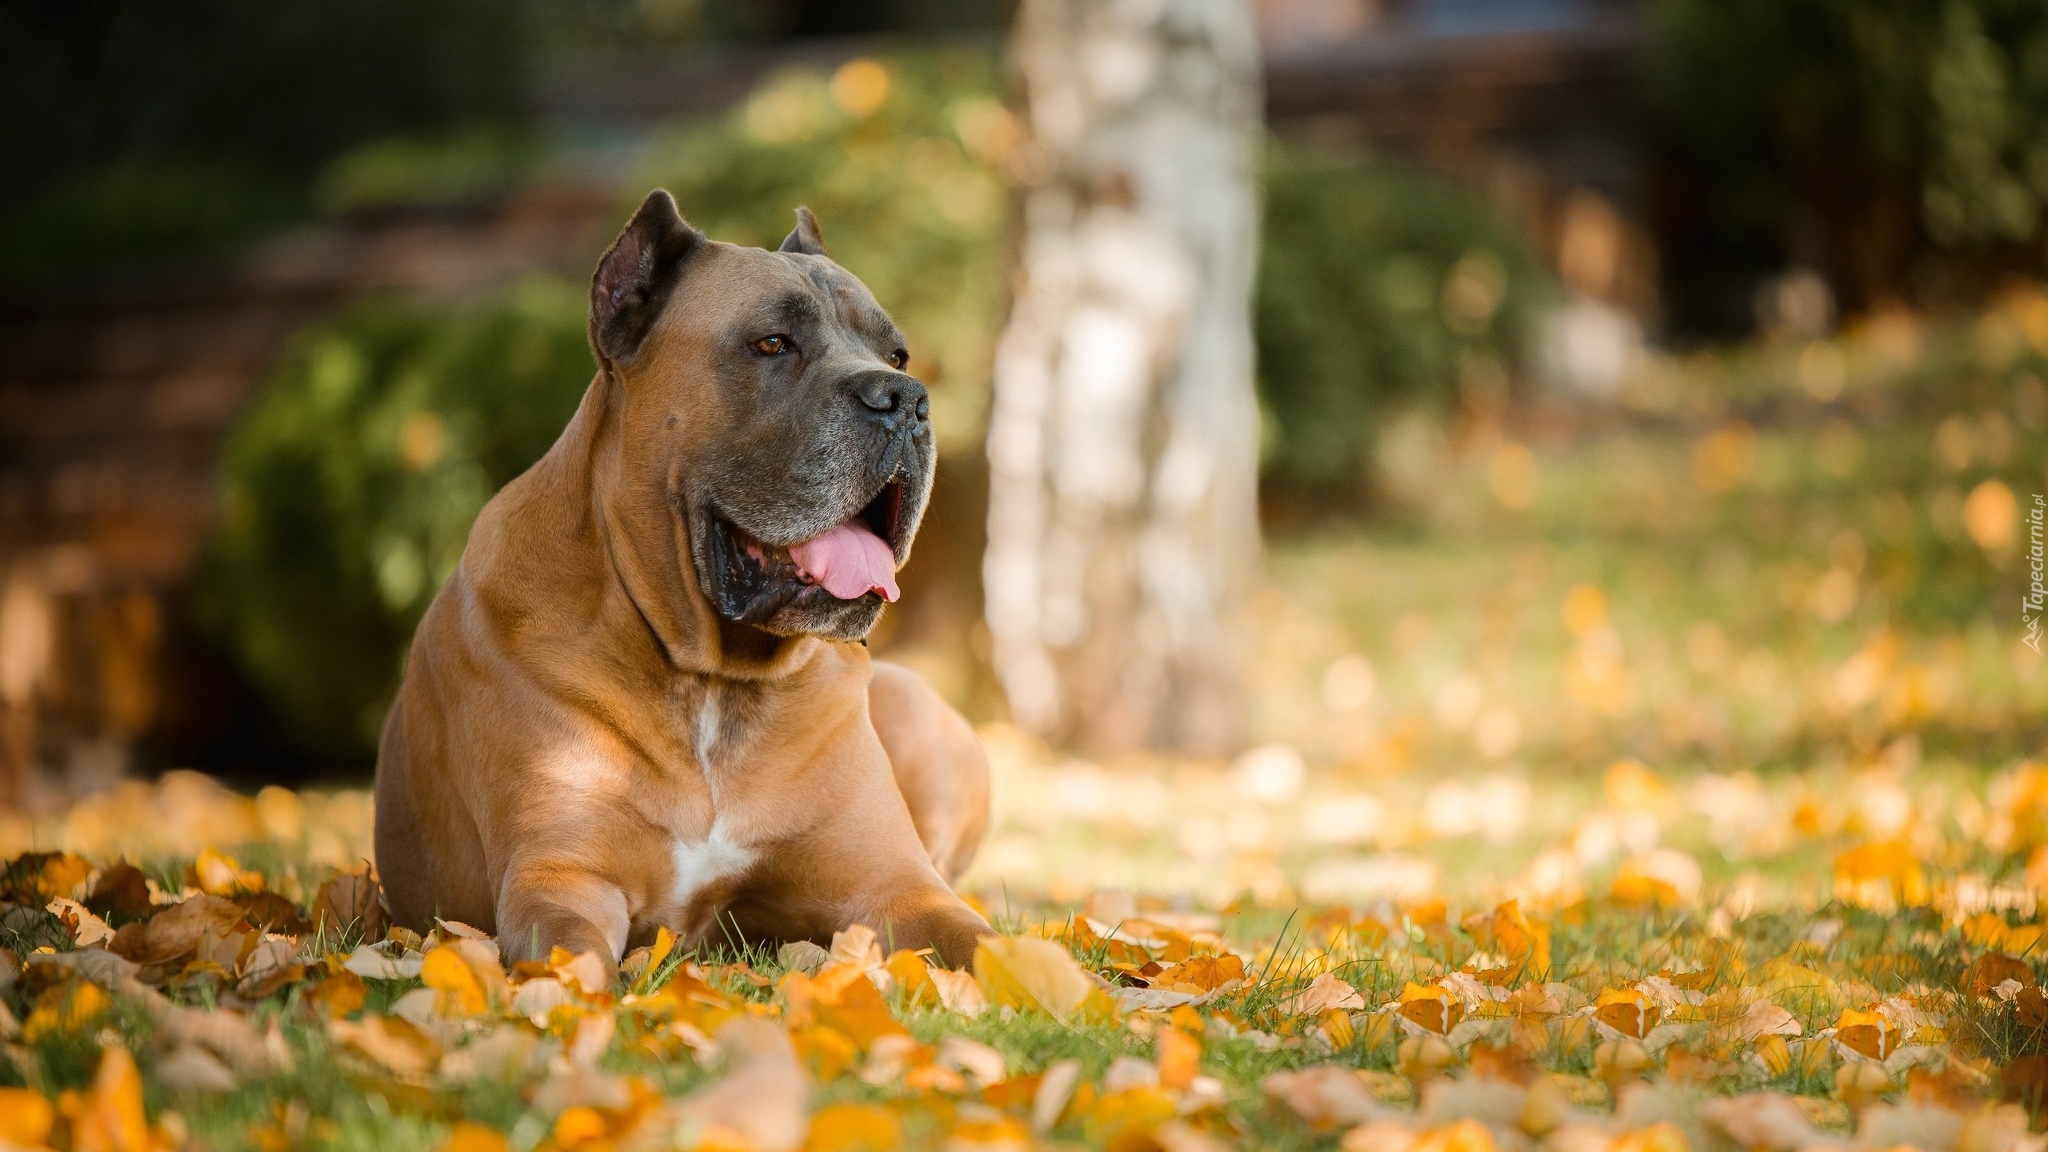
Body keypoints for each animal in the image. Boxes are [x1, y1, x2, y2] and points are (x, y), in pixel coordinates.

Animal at [382, 192, 999, 963]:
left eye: (896, 355)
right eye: (772, 344)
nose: (905, 399)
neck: (712, 681)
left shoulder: (896, 886)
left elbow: (989, 944)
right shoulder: (559, 876)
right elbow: (574, 957)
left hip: (912, 702)